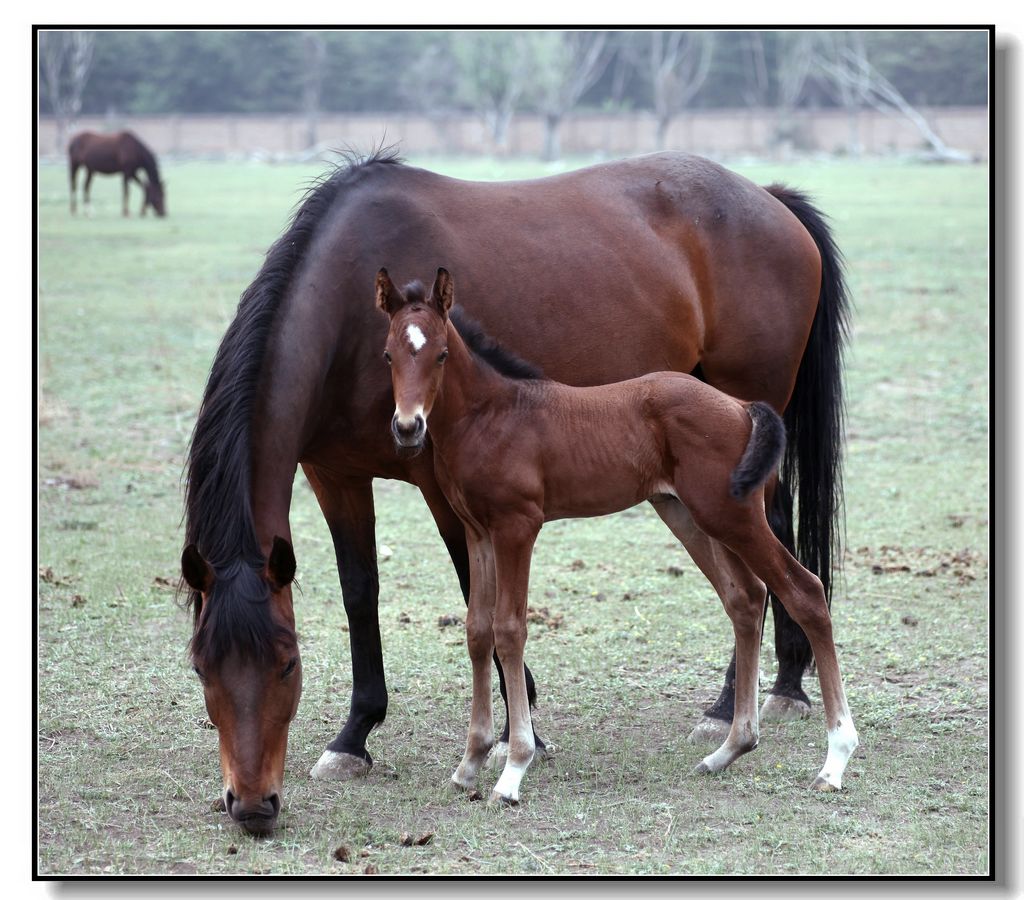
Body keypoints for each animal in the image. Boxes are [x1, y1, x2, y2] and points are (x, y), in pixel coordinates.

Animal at [376, 266, 856, 802]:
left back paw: (835, 761)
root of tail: (740, 406)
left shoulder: (517, 526)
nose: (408, 427)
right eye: (389, 354)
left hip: (732, 516)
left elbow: (510, 629)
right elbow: (478, 632)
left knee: (804, 591)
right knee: (747, 598)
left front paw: (514, 768)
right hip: (691, 515)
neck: (491, 414)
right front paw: (469, 764)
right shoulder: (477, 532)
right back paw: (729, 749)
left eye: (440, 353)